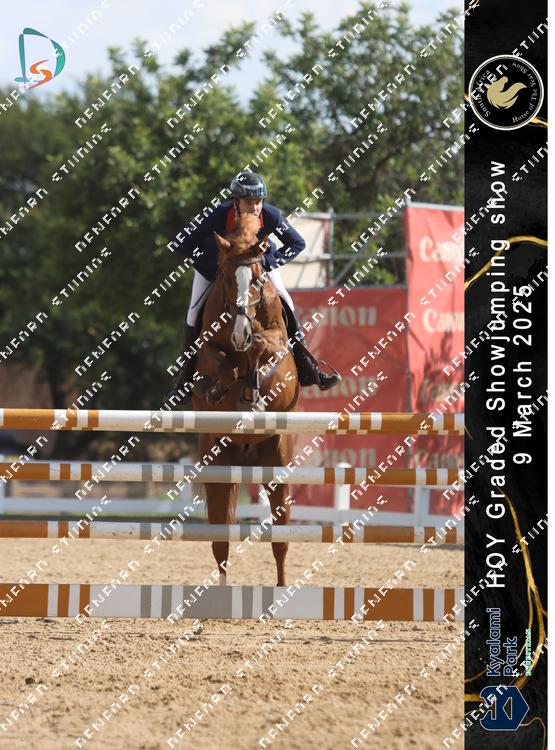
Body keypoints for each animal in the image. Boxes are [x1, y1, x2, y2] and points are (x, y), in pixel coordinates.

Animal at [192, 213, 299, 586]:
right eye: (226, 278)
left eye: (256, 279)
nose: (241, 334)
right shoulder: (209, 348)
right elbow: (220, 362)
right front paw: (217, 388)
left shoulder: (278, 347)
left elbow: (264, 349)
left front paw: (251, 385)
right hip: (220, 462)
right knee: (221, 539)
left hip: (277, 460)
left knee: (280, 539)